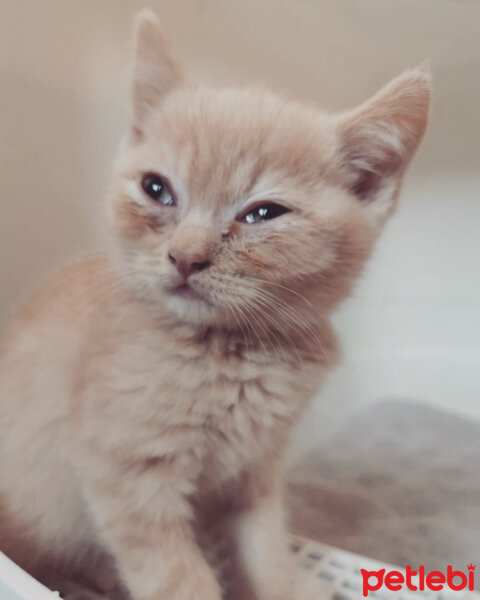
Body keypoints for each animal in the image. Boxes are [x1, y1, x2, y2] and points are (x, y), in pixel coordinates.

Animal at [0, 9, 430, 600]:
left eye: (263, 213)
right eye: (156, 189)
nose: (185, 257)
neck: (231, 355)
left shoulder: (257, 470)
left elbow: (266, 545)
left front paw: (287, 584)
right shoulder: (130, 480)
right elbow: (176, 577)